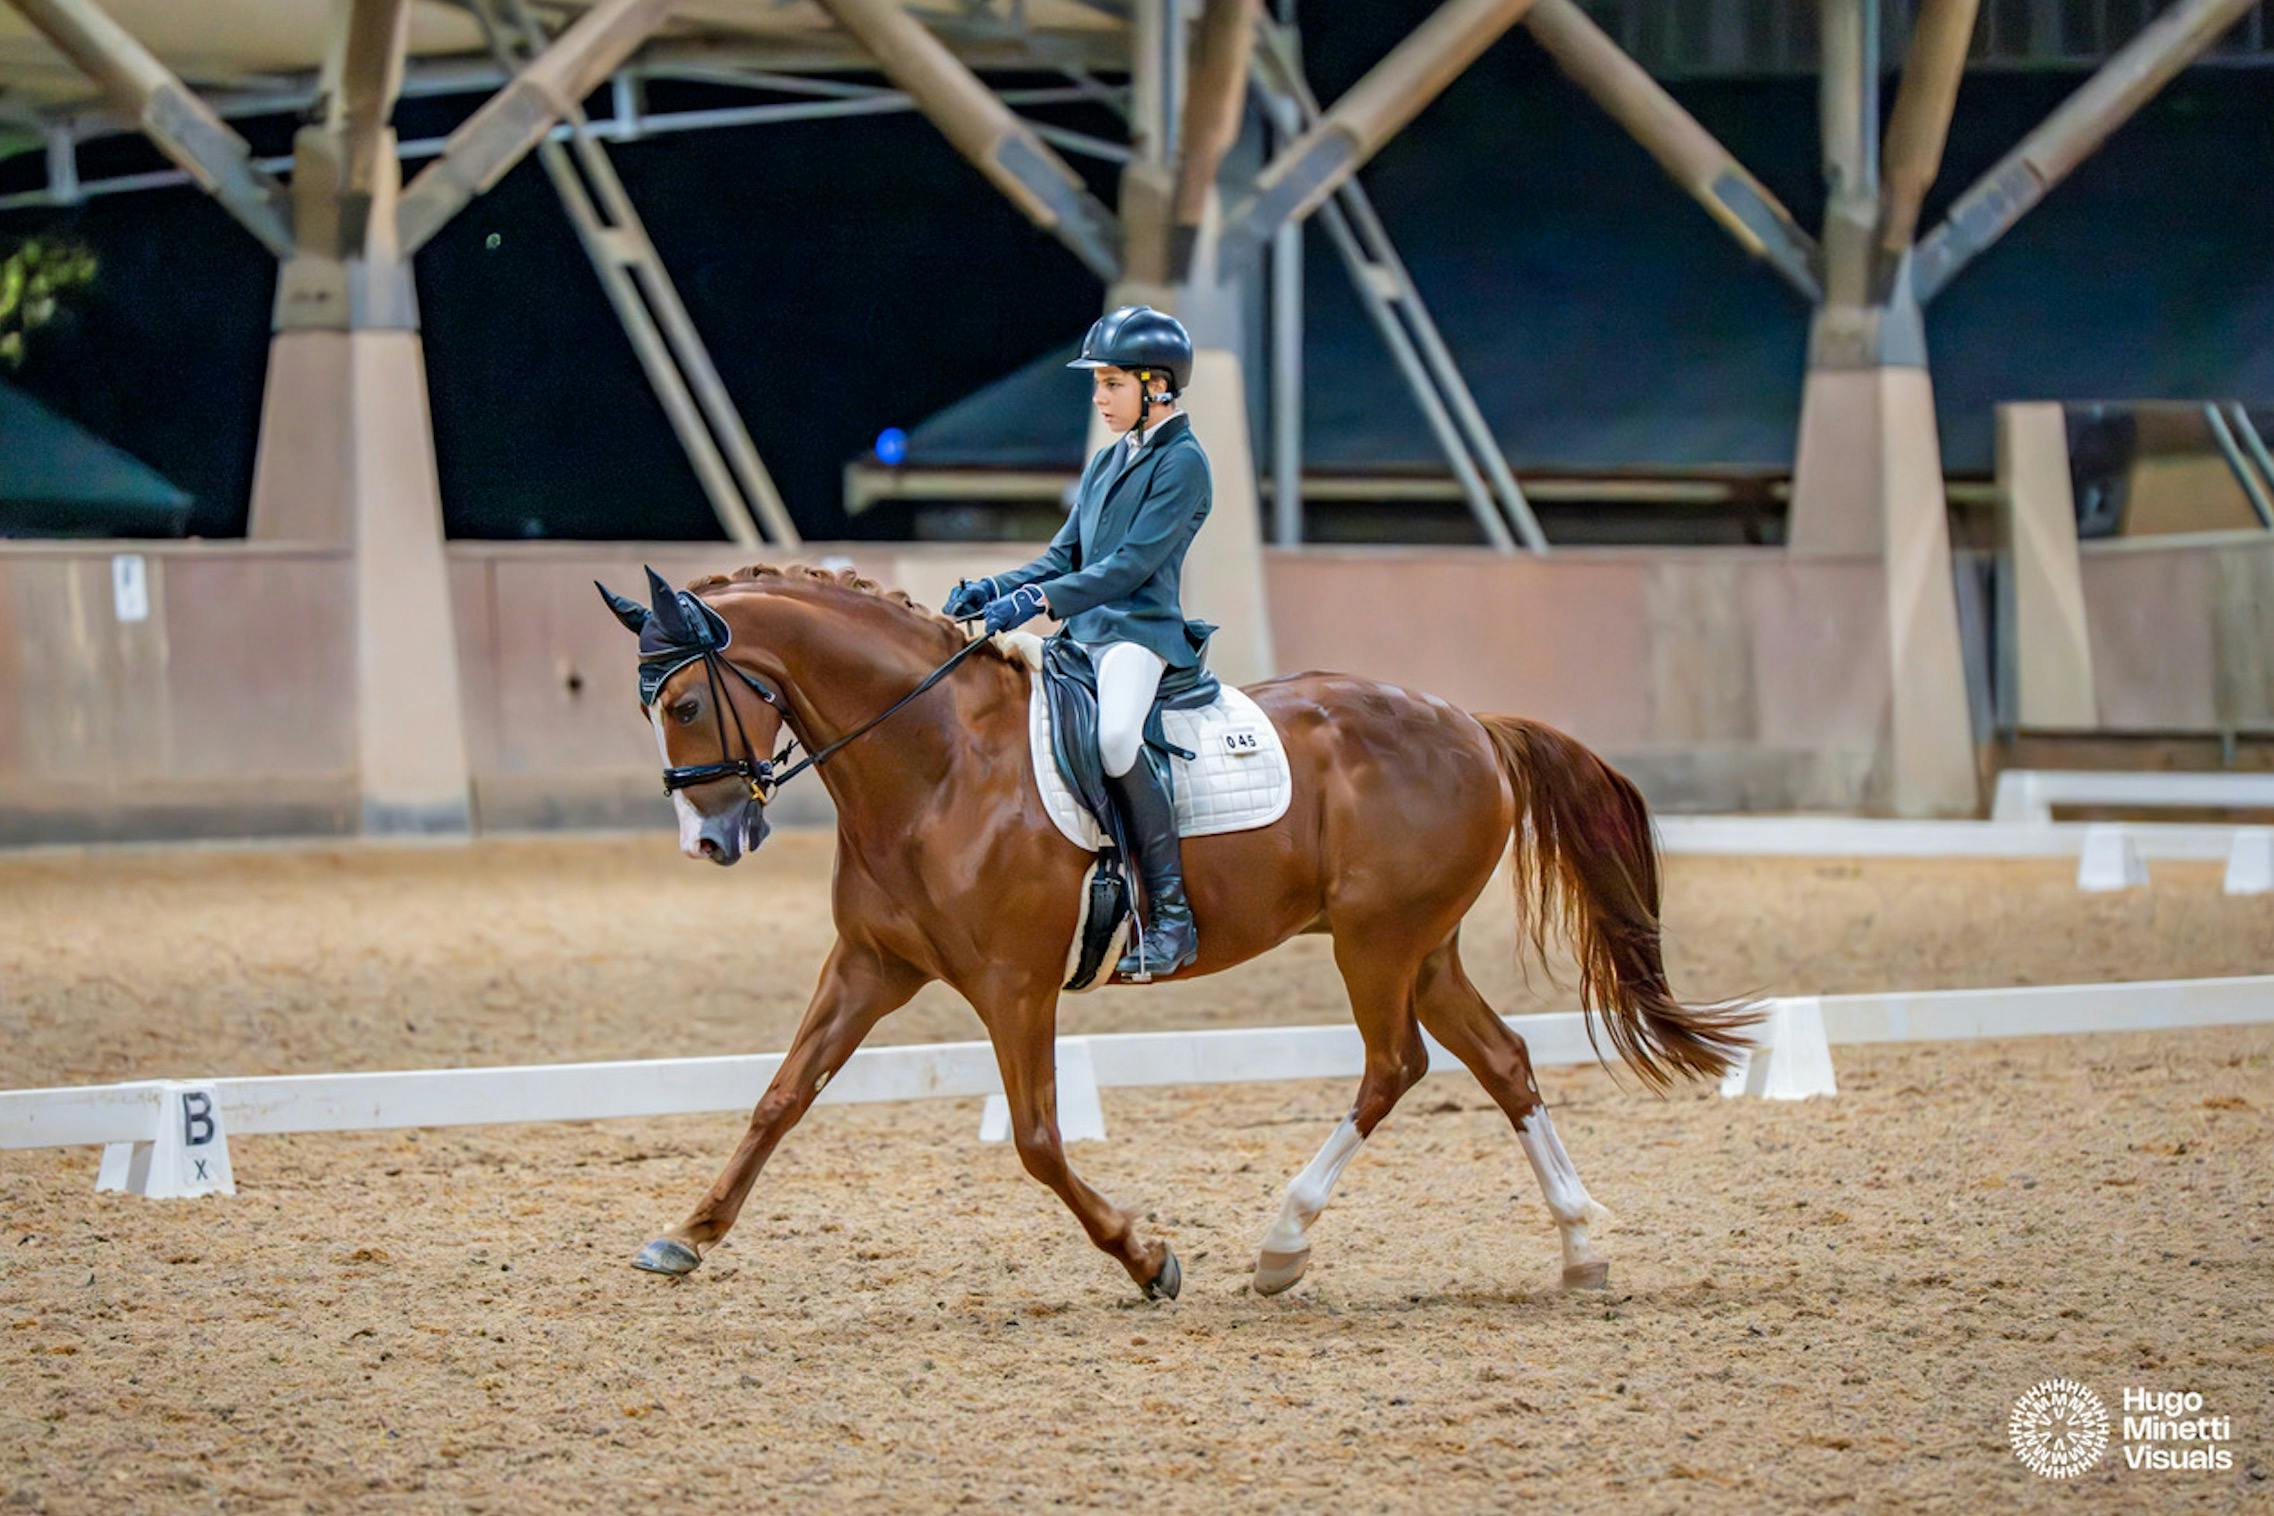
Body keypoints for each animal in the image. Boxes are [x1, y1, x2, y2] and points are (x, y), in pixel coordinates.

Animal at [600, 562, 1754, 1300]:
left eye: (688, 706)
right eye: (651, 708)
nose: (712, 838)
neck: (938, 764)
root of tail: (1470, 721)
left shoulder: (1013, 984)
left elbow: (1037, 1141)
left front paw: (1147, 1258)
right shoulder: (872, 965)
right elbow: (780, 1097)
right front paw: (686, 1235)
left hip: (1376, 945)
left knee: (1394, 1066)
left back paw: (1282, 1244)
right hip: (1422, 946)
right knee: (1504, 1061)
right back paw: (1580, 1252)